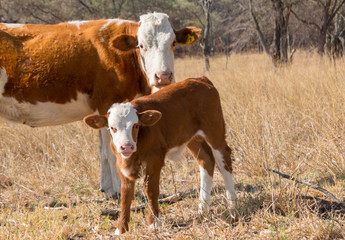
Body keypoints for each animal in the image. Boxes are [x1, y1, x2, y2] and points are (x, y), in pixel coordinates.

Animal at [0, 12, 200, 198]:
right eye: (141, 45)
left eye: (173, 43)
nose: (163, 76)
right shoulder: (106, 103)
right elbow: (111, 151)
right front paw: (118, 191)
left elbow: (102, 151)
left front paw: (107, 189)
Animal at [83, 77, 236, 234]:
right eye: (111, 128)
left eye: (136, 125)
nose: (127, 146)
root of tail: (200, 79)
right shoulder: (121, 163)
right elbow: (126, 194)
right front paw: (121, 228)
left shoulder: (155, 159)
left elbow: (150, 189)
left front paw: (154, 222)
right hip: (193, 139)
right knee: (206, 161)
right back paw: (202, 211)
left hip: (214, 130)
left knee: (224, 162)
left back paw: (232, 207)